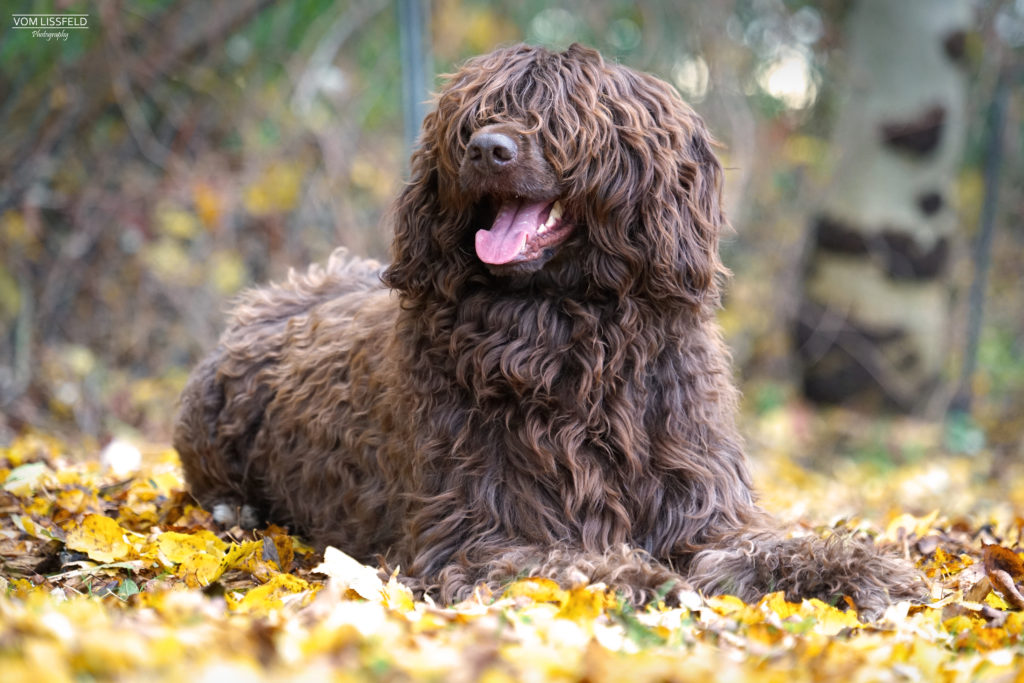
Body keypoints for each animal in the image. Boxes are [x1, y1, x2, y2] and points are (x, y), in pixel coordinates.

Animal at [172, 45, 925, 618]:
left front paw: (857, 566)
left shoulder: (706, 511)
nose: (487, 148)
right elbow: (563, 562)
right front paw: (633, 576)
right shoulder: (478, 530)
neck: (574, 339)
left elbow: (773, 545)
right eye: (473, 117)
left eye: (564, 120)